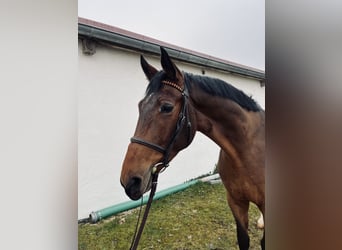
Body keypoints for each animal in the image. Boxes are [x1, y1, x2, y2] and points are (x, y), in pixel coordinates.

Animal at [120, 47, 264, 250]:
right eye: (140, 106)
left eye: (167, 107)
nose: (129, 181)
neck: (247, 152)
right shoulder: (236, 202)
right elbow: (243, 239)